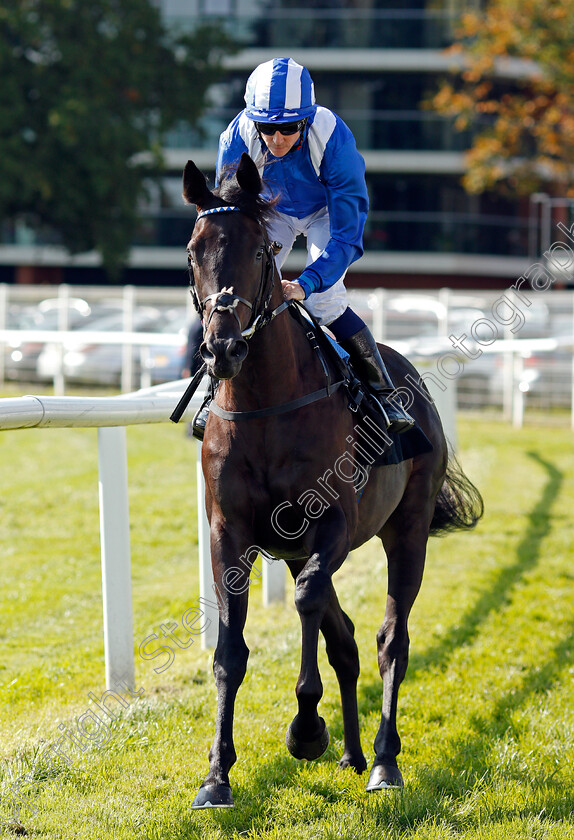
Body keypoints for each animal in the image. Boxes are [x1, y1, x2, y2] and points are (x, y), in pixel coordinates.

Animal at [181, 151, 486, 808]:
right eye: (194, 250)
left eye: (261, 251)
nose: (222, 347)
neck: (267, 405)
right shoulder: (230, 533)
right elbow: (231, 648)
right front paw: (217, 773)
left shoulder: (333, 525)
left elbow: (308, 602)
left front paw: (304, 728)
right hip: (298, 547)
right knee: (343, 637)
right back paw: (351, 750)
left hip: (407, 531)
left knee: (389, 640)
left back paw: (384, 760)